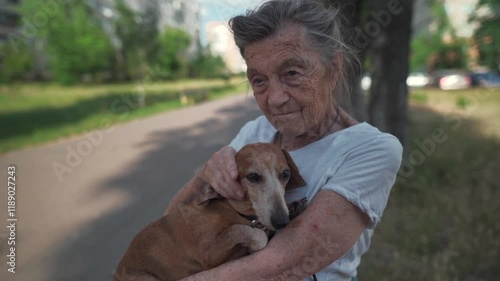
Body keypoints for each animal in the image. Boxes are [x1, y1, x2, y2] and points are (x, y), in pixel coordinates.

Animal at [113, 143, 304, 278]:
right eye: (253, 176)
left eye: (285, 174)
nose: (281, 221)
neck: (231, 210)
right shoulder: (207, 251)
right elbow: (241, 231)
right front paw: (256, 240)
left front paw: (294, 206)